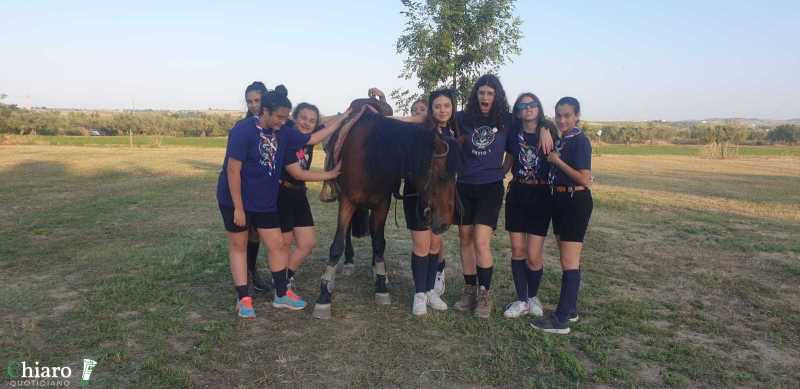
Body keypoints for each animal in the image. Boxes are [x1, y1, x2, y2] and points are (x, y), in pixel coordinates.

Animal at [312, 107, 462, 316]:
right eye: (441, 177)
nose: (445, 223)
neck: (372, 155)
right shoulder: (348, 202)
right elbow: (336, 245)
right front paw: (324, 295)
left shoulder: (382, 204)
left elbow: (379, 243)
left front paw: (381, 286)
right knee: (347, 232)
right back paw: (349, 262)